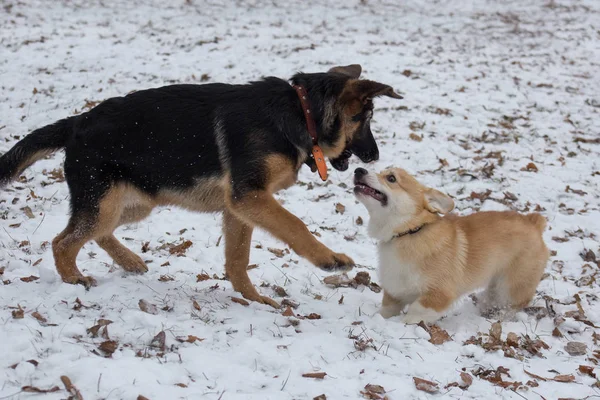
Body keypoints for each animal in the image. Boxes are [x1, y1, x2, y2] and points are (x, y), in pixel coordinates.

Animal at [1, 65, 404, 306]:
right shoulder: (250, 196)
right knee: (63, 241)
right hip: (105, 203)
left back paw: (129, 261)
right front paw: (330, 260)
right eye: (365, 119)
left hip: (132, 202)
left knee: (94, 233)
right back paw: (73, 280)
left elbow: (237, 260)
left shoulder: (240, 207)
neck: (301, 112)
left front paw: (254, 300)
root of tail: (76, 122)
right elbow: (295, 226)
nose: (374, 156)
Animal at [354, 167, 552, 324]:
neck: (409, 232)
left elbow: (416, 311)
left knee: (513, 305)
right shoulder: (395, 291)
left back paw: (499, 319)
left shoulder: (438, 294)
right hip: (494, 285)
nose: (358, 170)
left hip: (511, 287)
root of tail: (534, 222)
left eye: (391, 178)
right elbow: (386, 310)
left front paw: (404, 324)